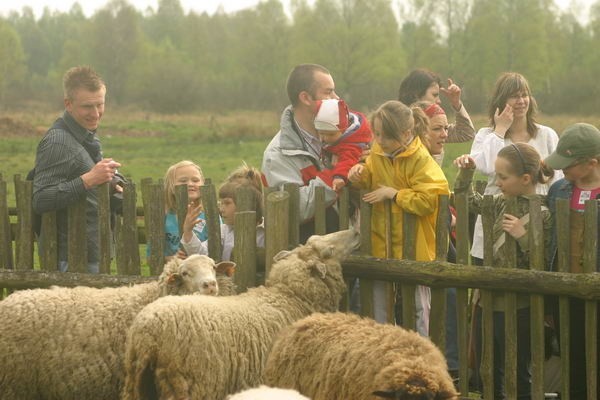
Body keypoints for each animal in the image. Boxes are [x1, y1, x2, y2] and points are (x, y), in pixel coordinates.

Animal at [119, 228, 358, 400]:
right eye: (328, 252)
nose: (355, 232)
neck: (289, 297)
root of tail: (147, 335)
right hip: (191, 385)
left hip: (135, 384)